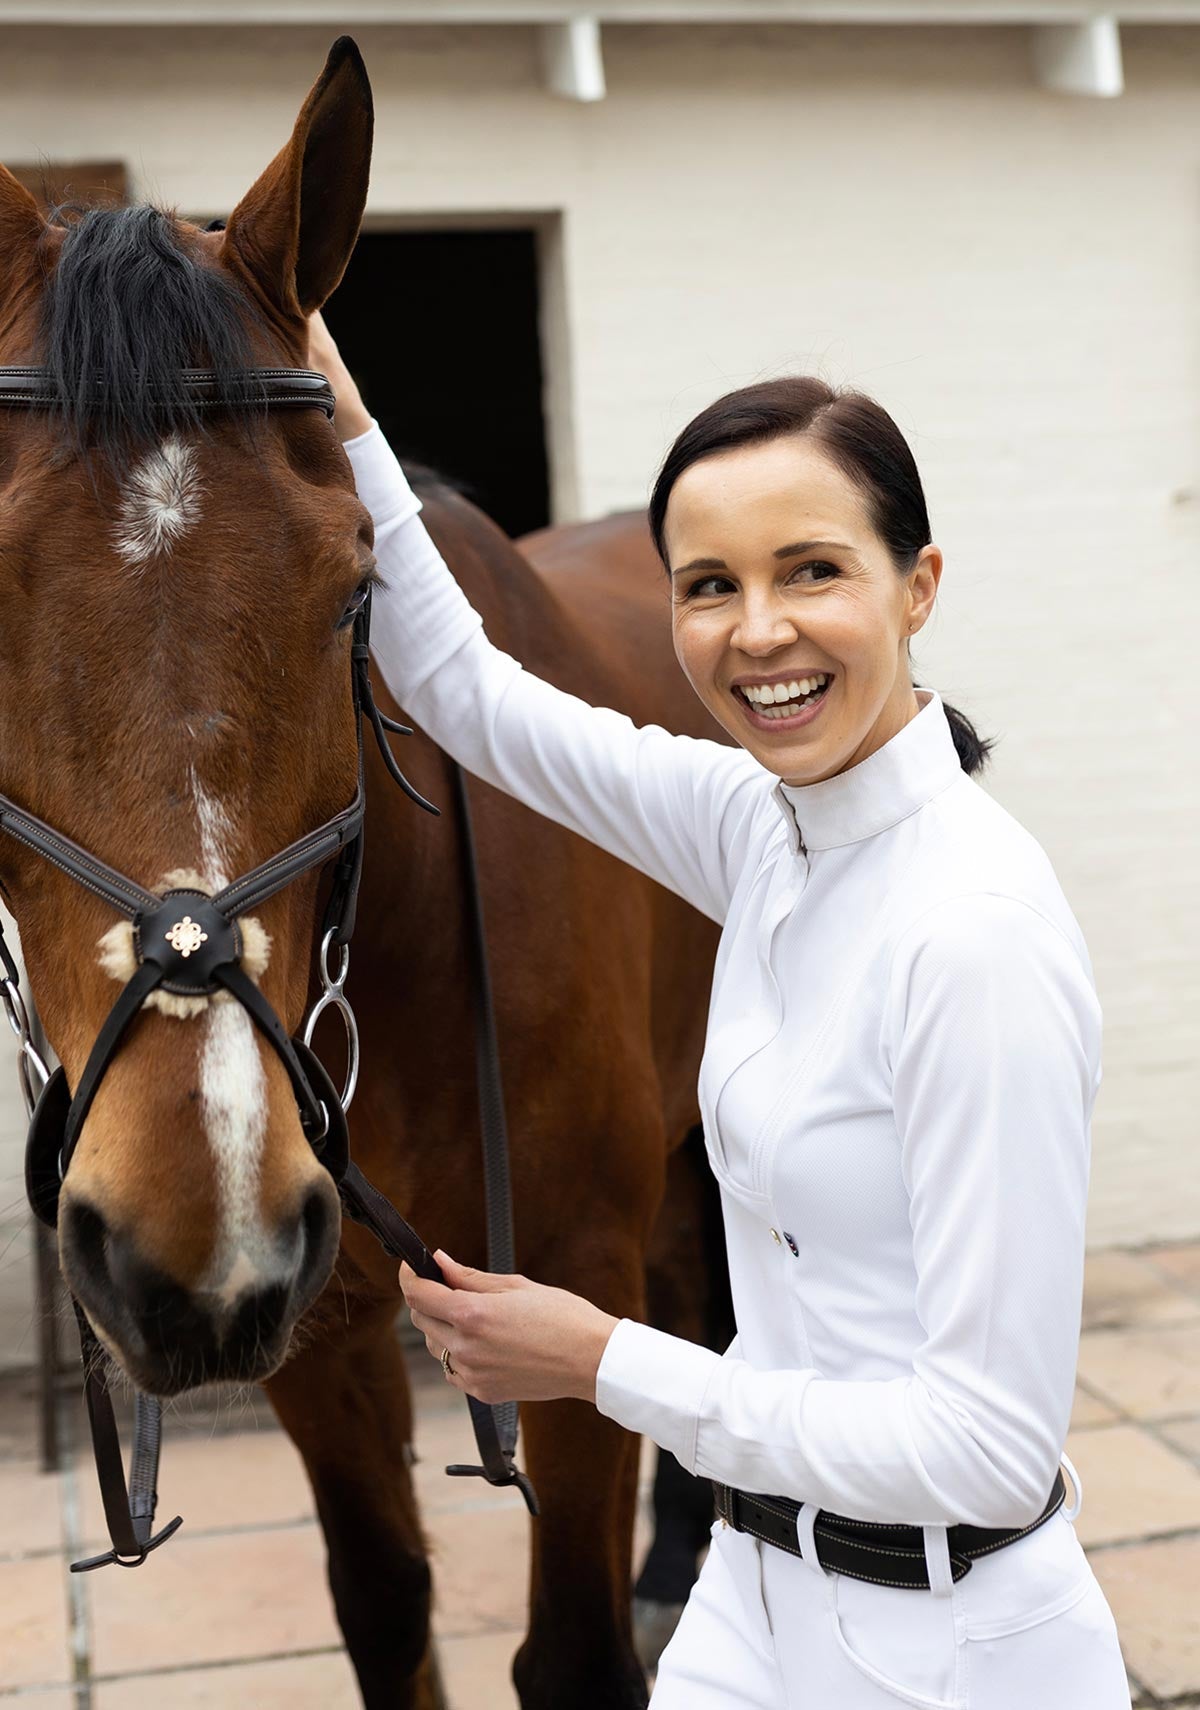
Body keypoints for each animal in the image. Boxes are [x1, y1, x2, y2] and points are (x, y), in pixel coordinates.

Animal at [0, 40, 731, 1710]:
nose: (194, 1222)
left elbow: (572, 1647)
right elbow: (386, 1599)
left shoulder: (563, 1282)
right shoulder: (319, 1324)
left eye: (354, 590)